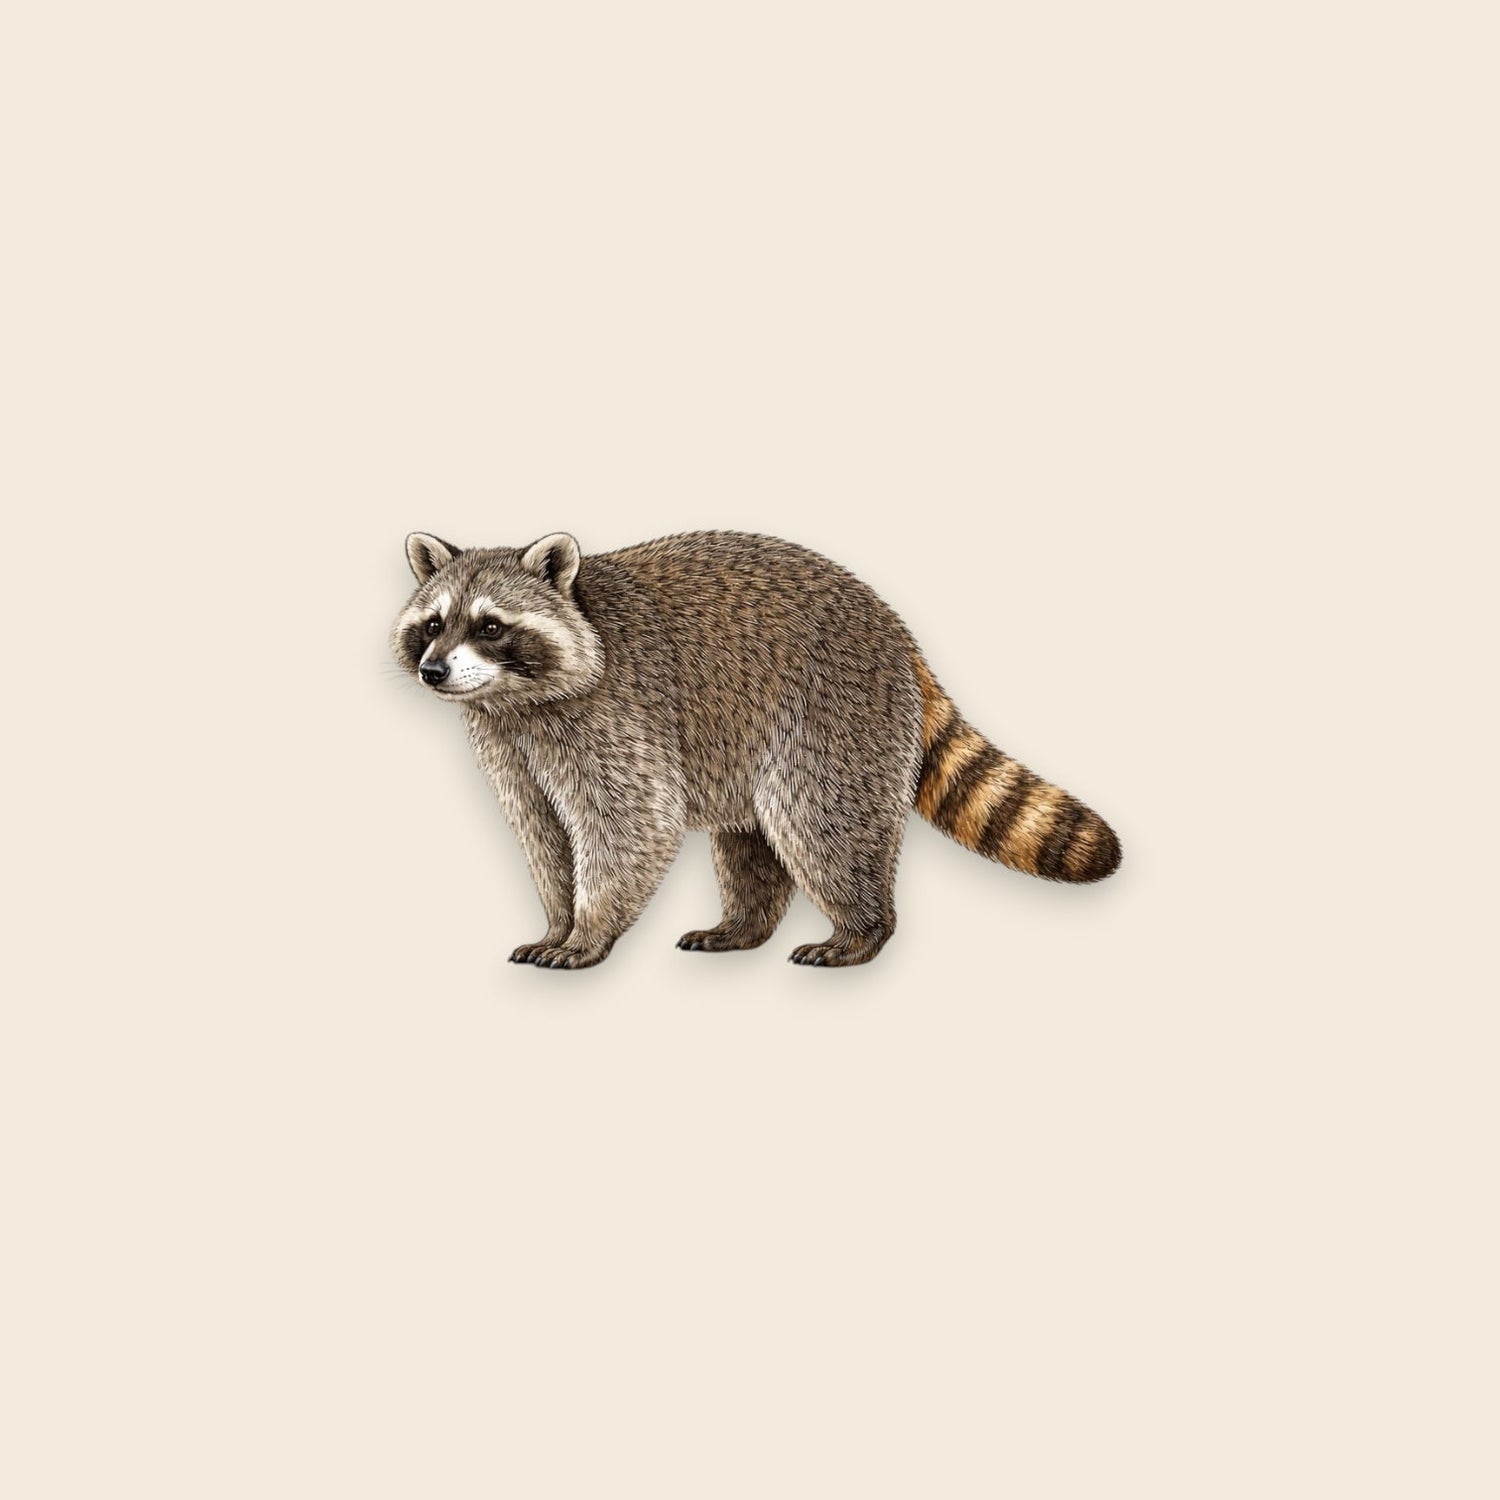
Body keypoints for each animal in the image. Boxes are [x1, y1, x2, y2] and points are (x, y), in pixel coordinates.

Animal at [390, 529, 1121, 969]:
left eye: (490, 626)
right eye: (433, 623)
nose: (432, 671)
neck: (517, 702)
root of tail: (892, 624)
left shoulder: (615, 717)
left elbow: (633, 825)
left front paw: (588, 931)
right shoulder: (511, 746)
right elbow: (542, 833)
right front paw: (557, 920)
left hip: (833, 714)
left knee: (821, 823)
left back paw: (862, 929)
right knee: (752, 840)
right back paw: (743, 925)